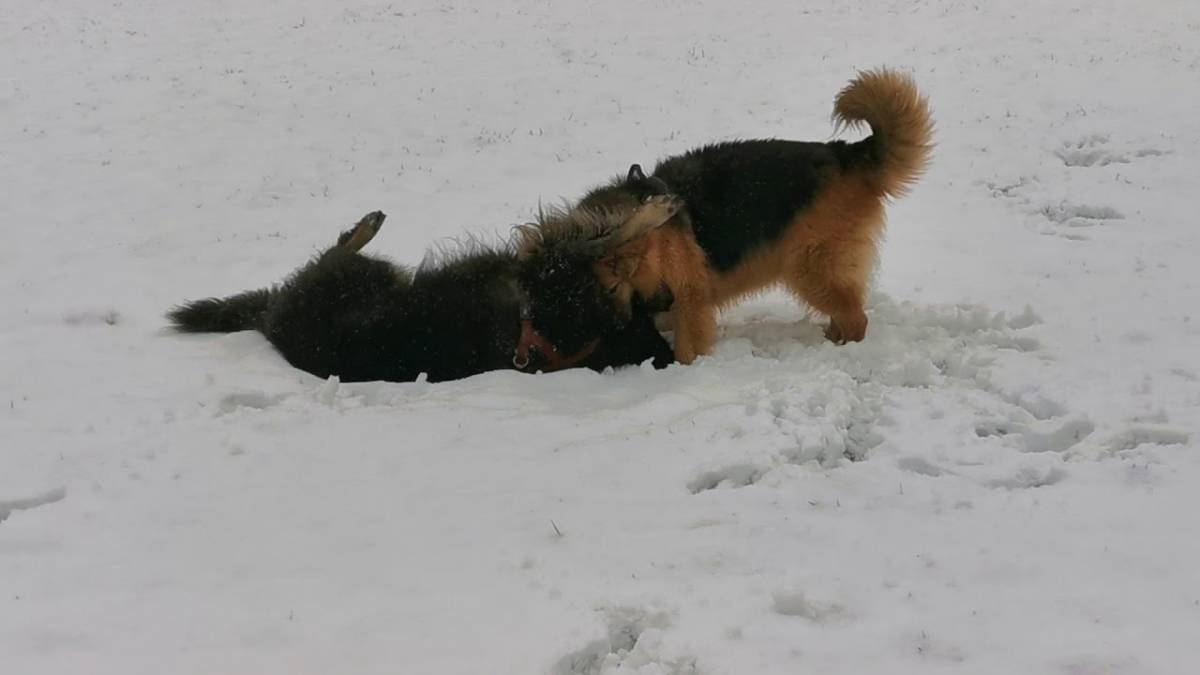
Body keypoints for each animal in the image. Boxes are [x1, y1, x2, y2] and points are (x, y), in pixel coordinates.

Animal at [166, 196, 686, 381]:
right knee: (335, 250)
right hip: (367, 277)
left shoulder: (556, 269)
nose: (667, 299)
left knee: (332, 254)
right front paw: (652, 212)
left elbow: (601, 240)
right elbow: (603, 238)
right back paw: (367, 225)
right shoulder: (552, 267)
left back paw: (365, 226)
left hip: (356, 279)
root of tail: (269, 321)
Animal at [571, 66, 936, 362]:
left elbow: (688, 347)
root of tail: (845, 153)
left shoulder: (690, 297)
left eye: (615, 284)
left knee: (856, 318)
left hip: (811, 270)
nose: (622, 323)